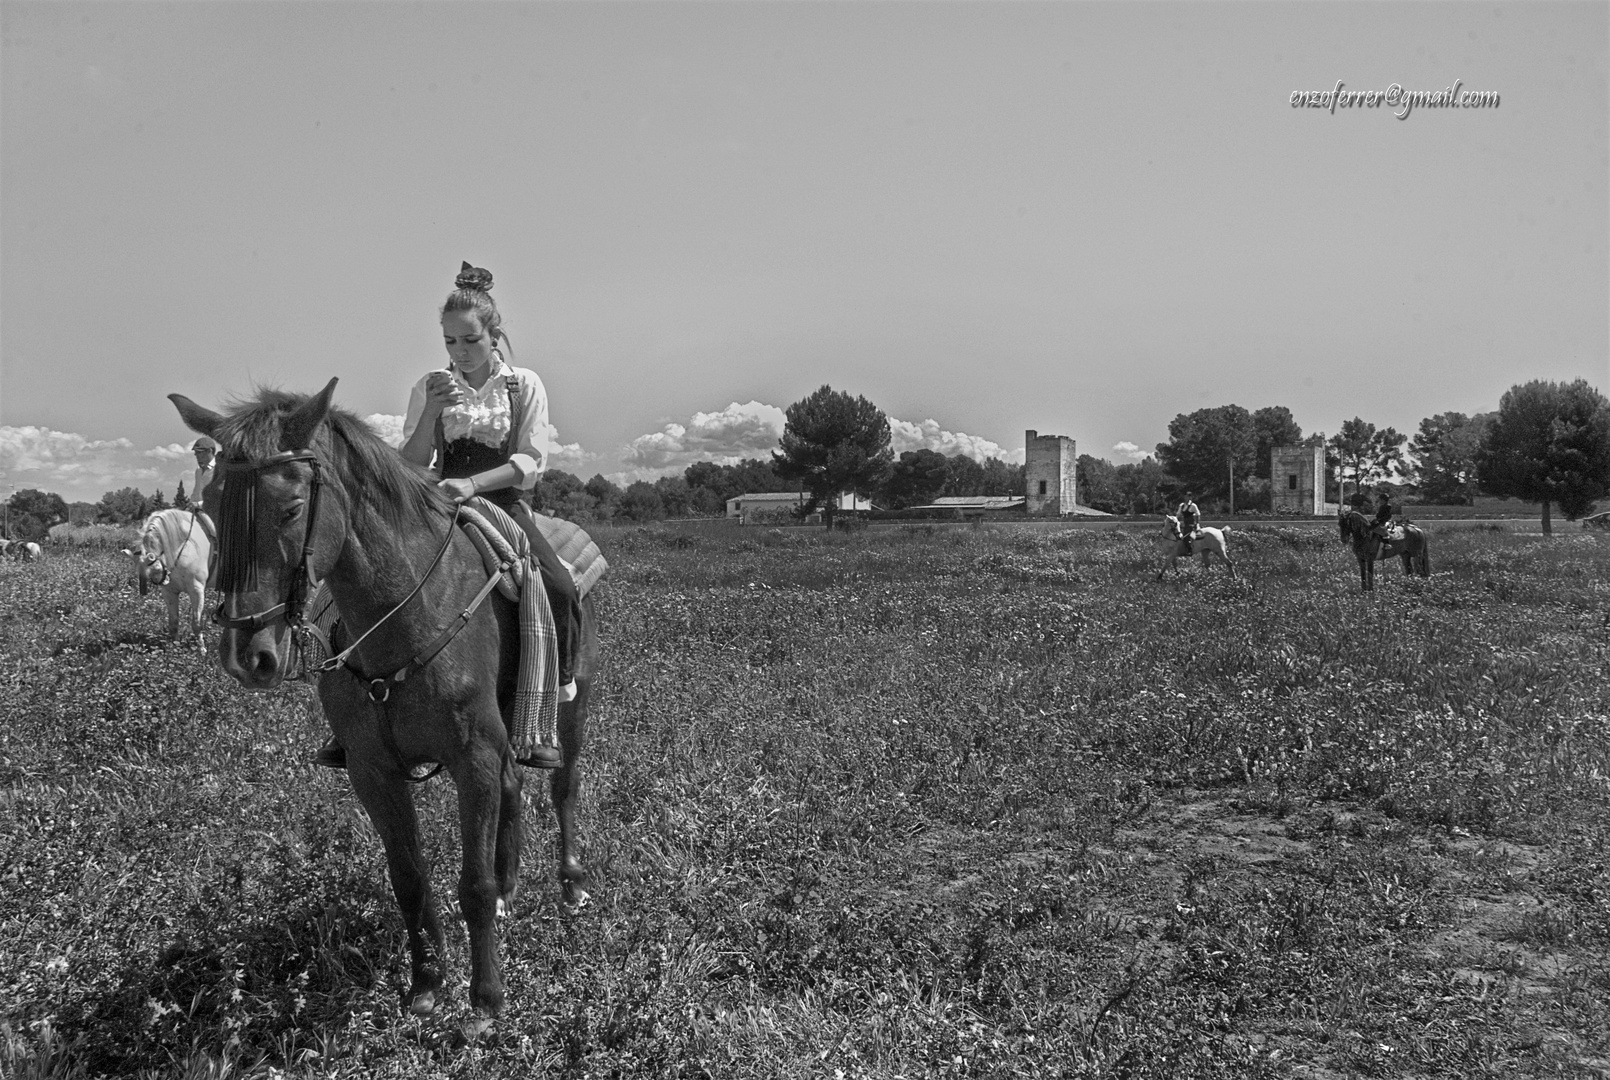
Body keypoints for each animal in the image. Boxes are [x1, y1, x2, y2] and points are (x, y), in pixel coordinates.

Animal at [171, 379, 598, 1030]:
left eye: (291, 508)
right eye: (214, 503)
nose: (248, 655)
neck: (408, 612)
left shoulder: (472, 756)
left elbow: (471, 884)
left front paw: (484, 1001)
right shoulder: (374, 771)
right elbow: (410, 879)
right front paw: (427, 984)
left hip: (567, 712)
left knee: (562, 787)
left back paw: (569, 883)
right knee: (514, 788)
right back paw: (511, 885)